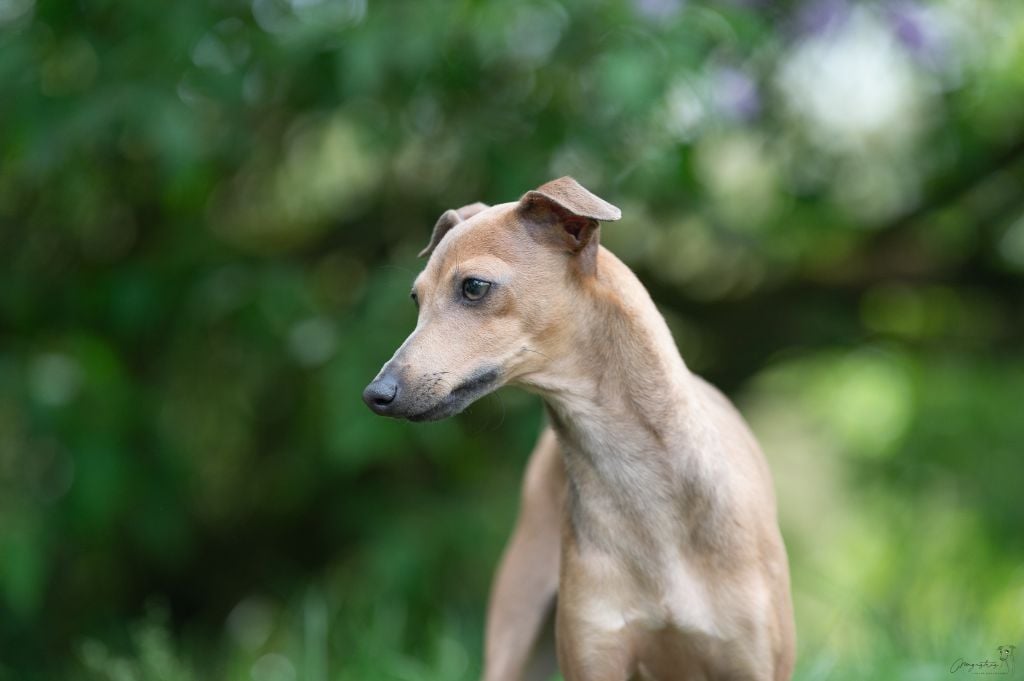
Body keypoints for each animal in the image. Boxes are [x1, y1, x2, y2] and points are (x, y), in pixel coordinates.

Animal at [364, 176, 794, 679]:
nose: (376, 394)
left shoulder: (751, 663)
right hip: (517, 635)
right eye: (417, 298)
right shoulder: (594, 651)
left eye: (474, 286)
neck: (648, 494)